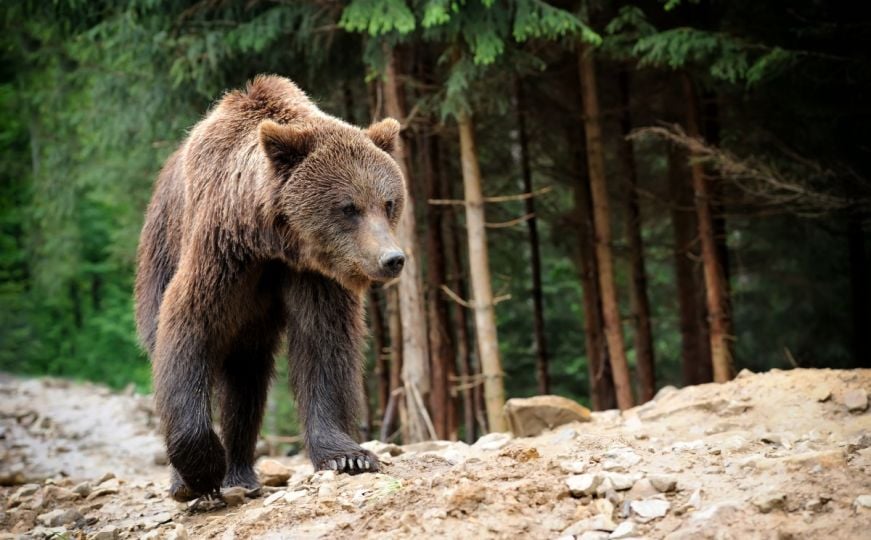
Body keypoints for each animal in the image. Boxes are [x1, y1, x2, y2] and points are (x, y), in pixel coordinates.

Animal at [135, 74, 408, 500]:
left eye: (389, 202)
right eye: (349, 207)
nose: (392, 258)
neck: (272, 241)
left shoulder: (313, 275)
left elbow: (324, 346)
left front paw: (349, 457)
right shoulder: (221, 255)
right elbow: (187, 329)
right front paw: (201, 474)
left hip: (251, 328)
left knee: (246, 382)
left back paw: (242, 474)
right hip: (159, 250)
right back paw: (195, 482)